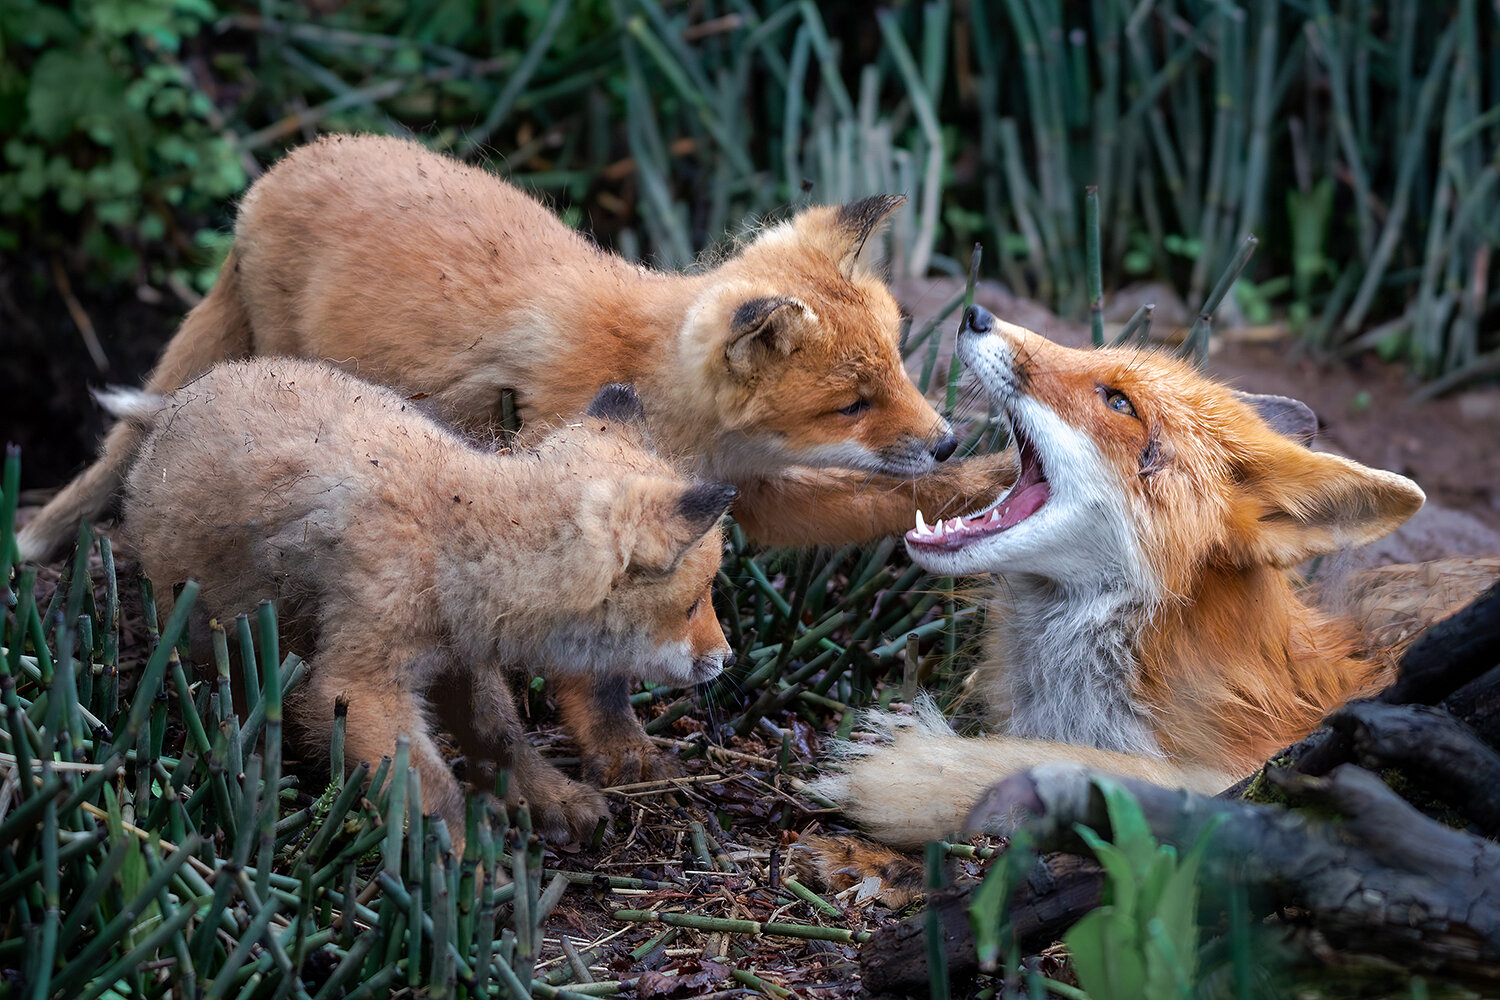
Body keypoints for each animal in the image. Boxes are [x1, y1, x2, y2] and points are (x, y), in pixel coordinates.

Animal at [106, 360, 736, 846]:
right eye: (694, 604)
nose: (728, 659)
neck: (453, 541)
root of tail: (184, 396)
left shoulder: (462, 656)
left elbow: (502, 737)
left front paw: (547, 797)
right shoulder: (359, 688)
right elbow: (431, 791)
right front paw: (461, 873)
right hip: (214, 627)